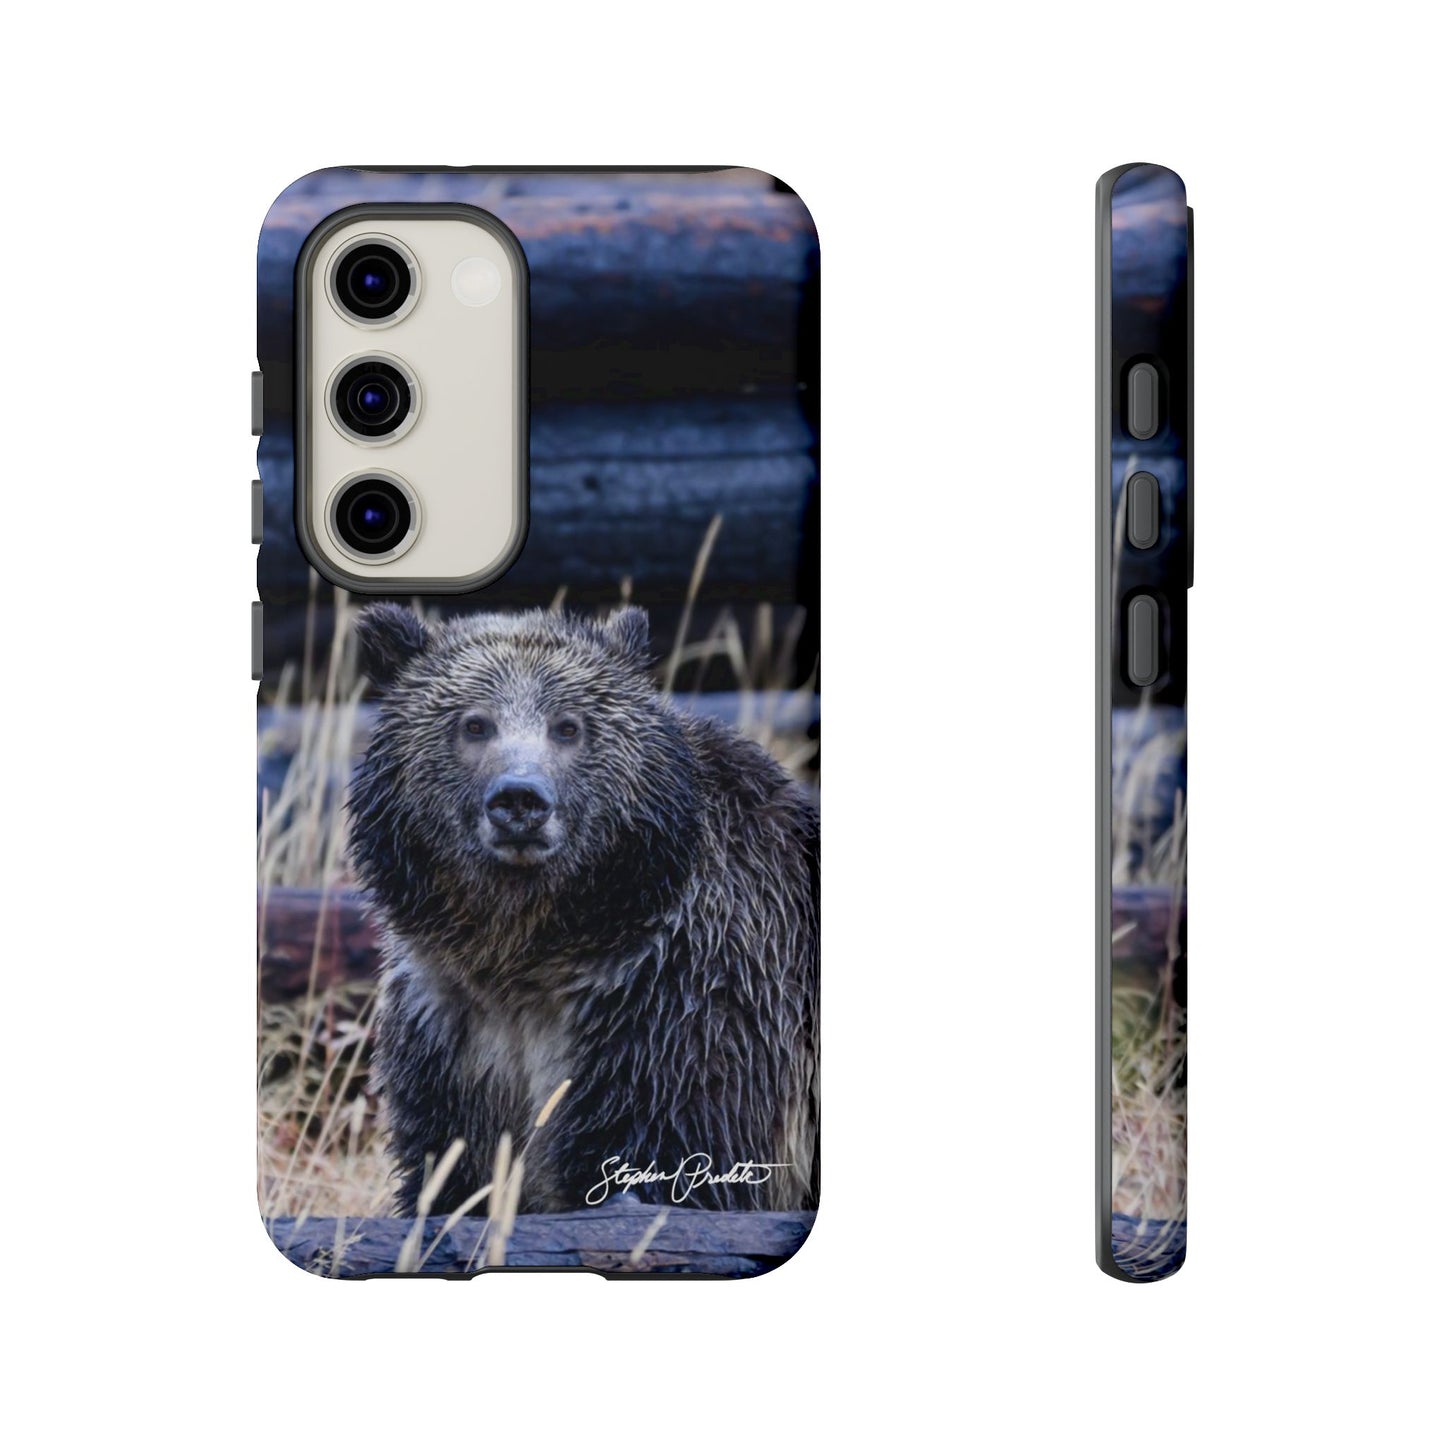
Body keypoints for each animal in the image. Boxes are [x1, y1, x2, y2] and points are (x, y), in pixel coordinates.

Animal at [347, 602, 819, 1217]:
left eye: (568, 726)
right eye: (475, 724)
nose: (520, 800)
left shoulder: (682, 1009)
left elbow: (679, 1162)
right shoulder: (453, 1031)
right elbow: (449, 1168)